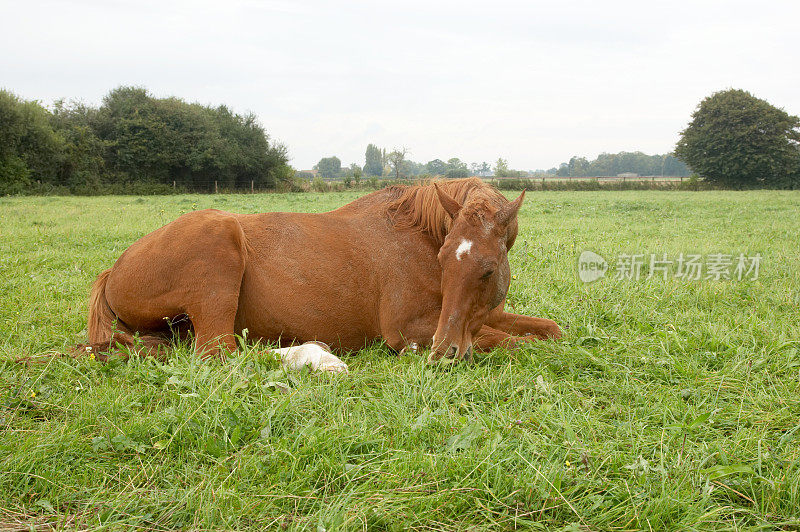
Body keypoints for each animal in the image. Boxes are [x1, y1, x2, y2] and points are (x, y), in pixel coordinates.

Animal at [86, 178, 564, 362]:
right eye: (444, 259)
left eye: (487, 269)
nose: (444, 351)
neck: (420, 236)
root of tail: (114, 271)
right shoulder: (410, 332)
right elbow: (511, 343)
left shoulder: (478, 314)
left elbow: (549, 330)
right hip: (219, 248)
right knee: (221, 352)